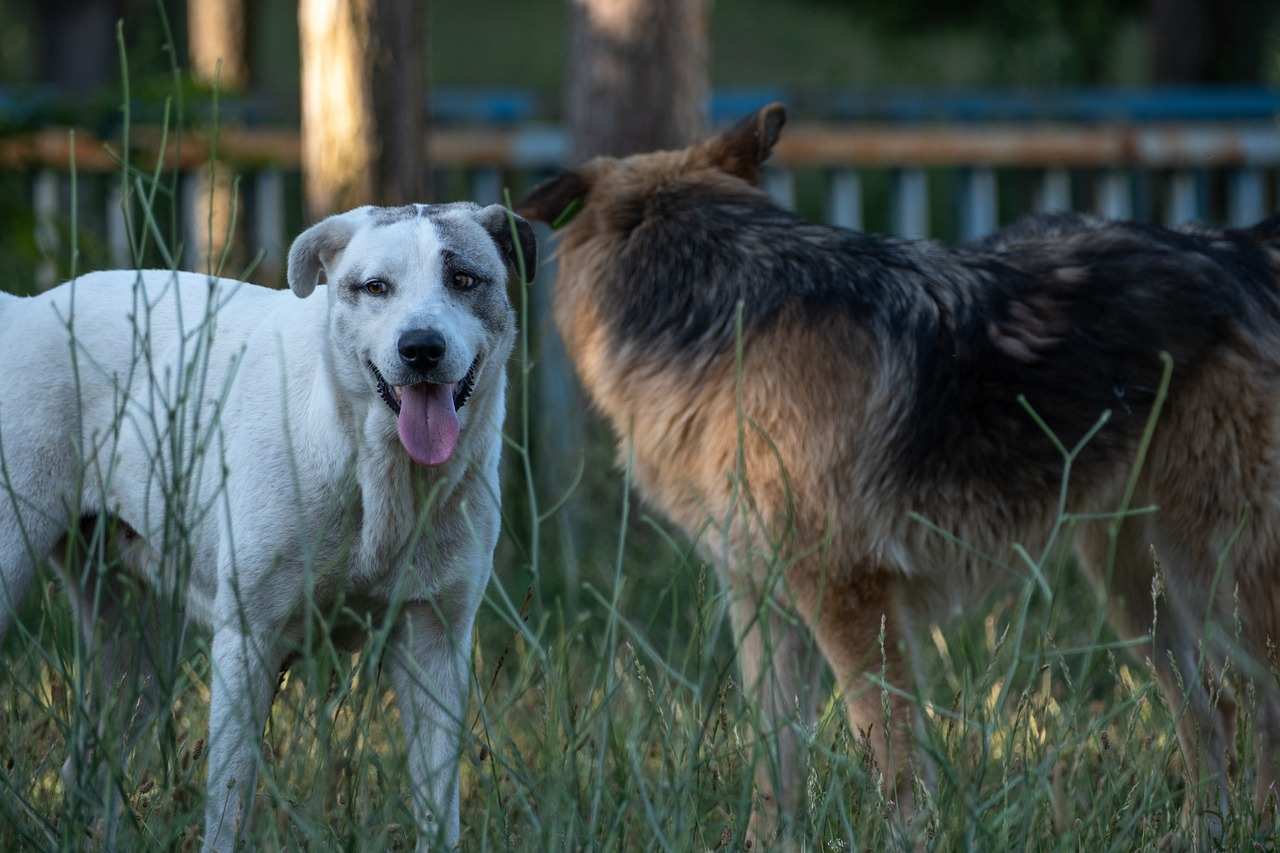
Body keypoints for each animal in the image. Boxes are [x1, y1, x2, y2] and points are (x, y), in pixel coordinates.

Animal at [0, 202, 535, 845]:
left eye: (463, 279)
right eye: (375, 287)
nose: (421, 347)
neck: (375, 467)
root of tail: (23, 309)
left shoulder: (436, 642)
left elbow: (439, 810)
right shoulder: (248, 642)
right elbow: (228, 805)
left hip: (134, 648)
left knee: (88, 768)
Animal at [517, 103, 1280, 840]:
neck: (725, 313)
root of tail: (1234, 249)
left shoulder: (847, 595)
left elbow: (892, 755)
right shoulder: (759, 599)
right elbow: (774, 759)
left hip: (1216, 572)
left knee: (1254, 703)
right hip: (1134, 582)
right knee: (1213, 709)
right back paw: (1207, 833)